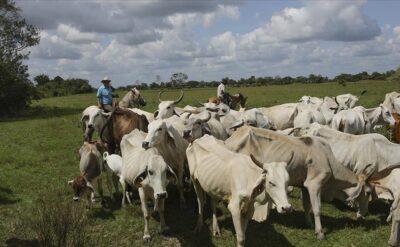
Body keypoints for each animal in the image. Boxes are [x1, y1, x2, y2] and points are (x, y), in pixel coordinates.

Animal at [227, 125, 370, 239]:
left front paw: (309, 223)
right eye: (368, 192)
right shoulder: (314, 184)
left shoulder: (304, 186)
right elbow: (317, 208)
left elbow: (307, 205)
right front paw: (319, 232)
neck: (328, 159)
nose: (364, 214)